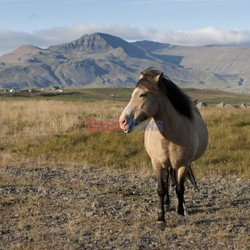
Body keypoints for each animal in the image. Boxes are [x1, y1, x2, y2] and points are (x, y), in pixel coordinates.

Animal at [119, 68, 209, 225]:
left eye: (142, 94)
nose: (122, 121)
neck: (170, 135)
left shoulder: (183, 165)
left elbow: (180, 189)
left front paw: (180, 214)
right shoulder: (156, 163)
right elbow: (161, 189)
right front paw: (161, 218)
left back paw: (183, 207)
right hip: (165, 164)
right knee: (167, 181)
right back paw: (167, 204)